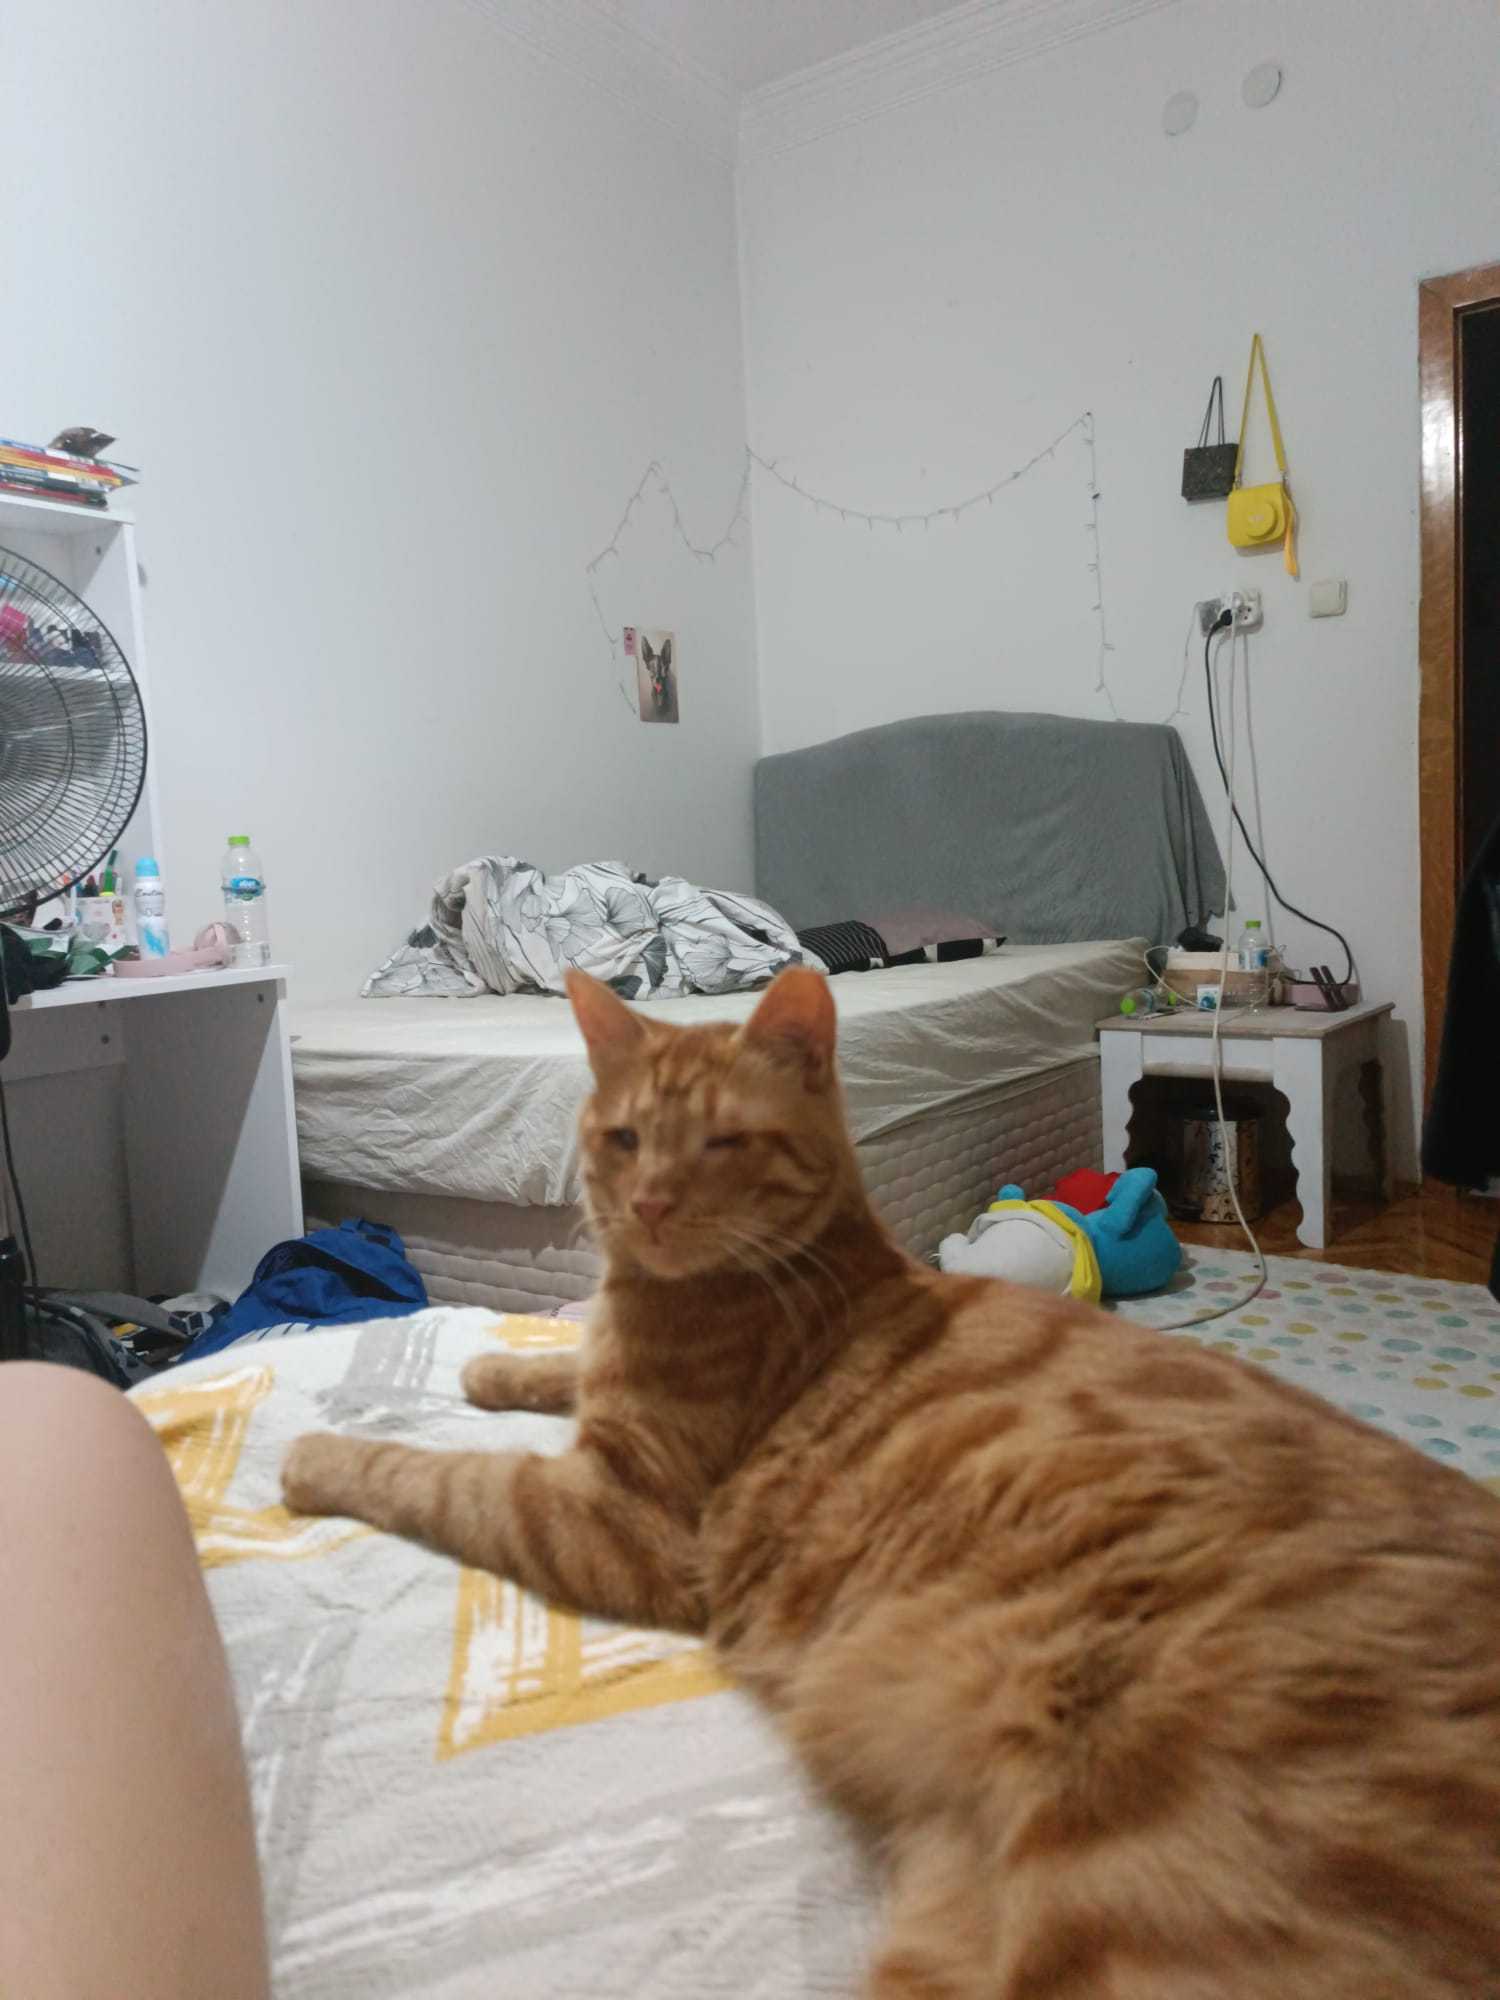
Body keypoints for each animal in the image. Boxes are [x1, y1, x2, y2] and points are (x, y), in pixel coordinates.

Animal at [284, 967, 1500, 1997]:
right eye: (625, 1136)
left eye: (723, 1140)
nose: (653, 1205)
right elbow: (560, 1366)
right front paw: (489, 1365)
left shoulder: (615, 1518)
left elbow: (438, 1474)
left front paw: (318, 1453)